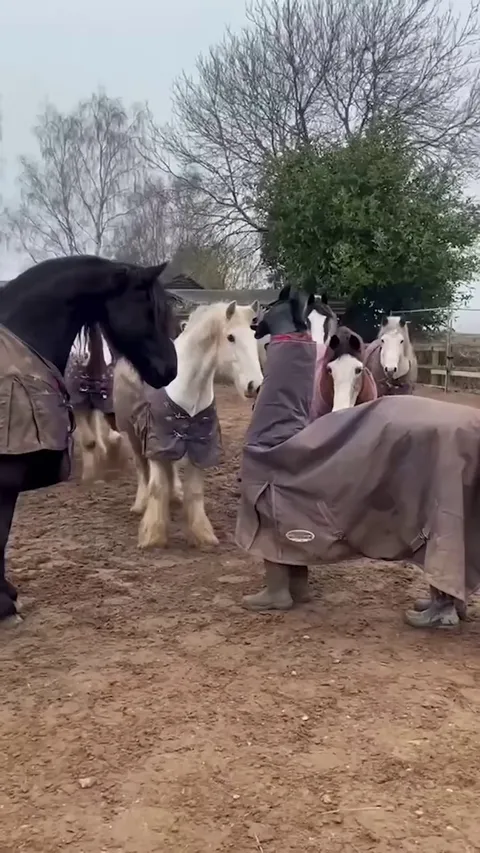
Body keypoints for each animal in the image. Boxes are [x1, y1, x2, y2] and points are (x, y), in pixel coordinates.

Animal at [113, 300, 263, 549]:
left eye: (253, 335)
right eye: (230, 337)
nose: (255, 385)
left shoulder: (200, 445)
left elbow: (194, 492)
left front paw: (203, 535)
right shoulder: (157, 443)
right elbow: (156, 487)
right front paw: (153, 536)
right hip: (133, 434)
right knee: (141, 469)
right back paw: (140, 504)